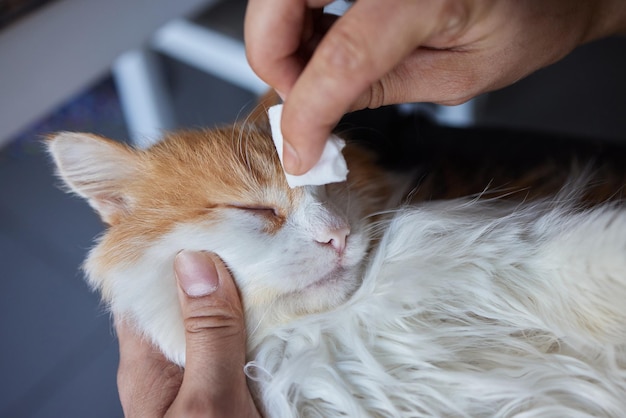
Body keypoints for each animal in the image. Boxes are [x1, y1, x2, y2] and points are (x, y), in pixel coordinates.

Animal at [46, 105, 624, 418]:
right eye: (256, 209)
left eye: (331, 186)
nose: (338, 236)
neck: (336, 329)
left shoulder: (506, 251)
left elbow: (588, 257)